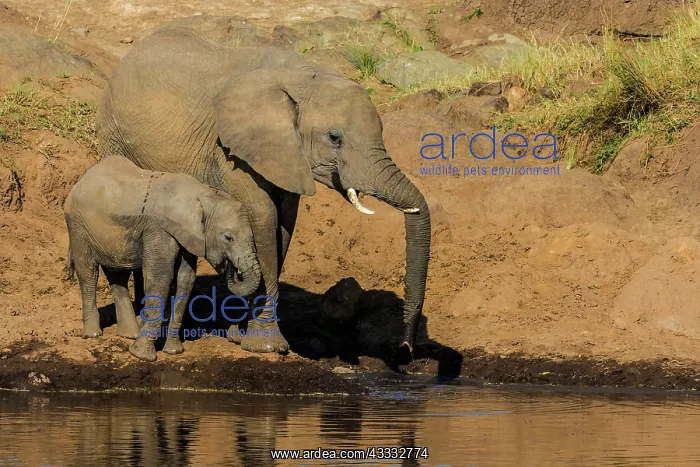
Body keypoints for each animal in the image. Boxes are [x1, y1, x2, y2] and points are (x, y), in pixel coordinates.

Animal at [63, 155, 261, 361]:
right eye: (228, 237)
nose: (232, 269)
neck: (202, 194)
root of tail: (82, 179)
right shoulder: (158, 229)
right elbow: (160, 279)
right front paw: (142, 356)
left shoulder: (187, 236)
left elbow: (185, 280)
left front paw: (173, 351)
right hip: (77, 225)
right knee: (88, 274)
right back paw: (93, 334)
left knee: (117, 275)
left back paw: (130, 334)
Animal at [96, 25, 431, 356]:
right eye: (334, 137)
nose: (406, 347)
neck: (303, 77)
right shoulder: (232, 152)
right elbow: (263, 218)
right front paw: (268, 346)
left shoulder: (288, 157)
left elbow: (283, 225)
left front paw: (239, 337)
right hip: (115, 137)